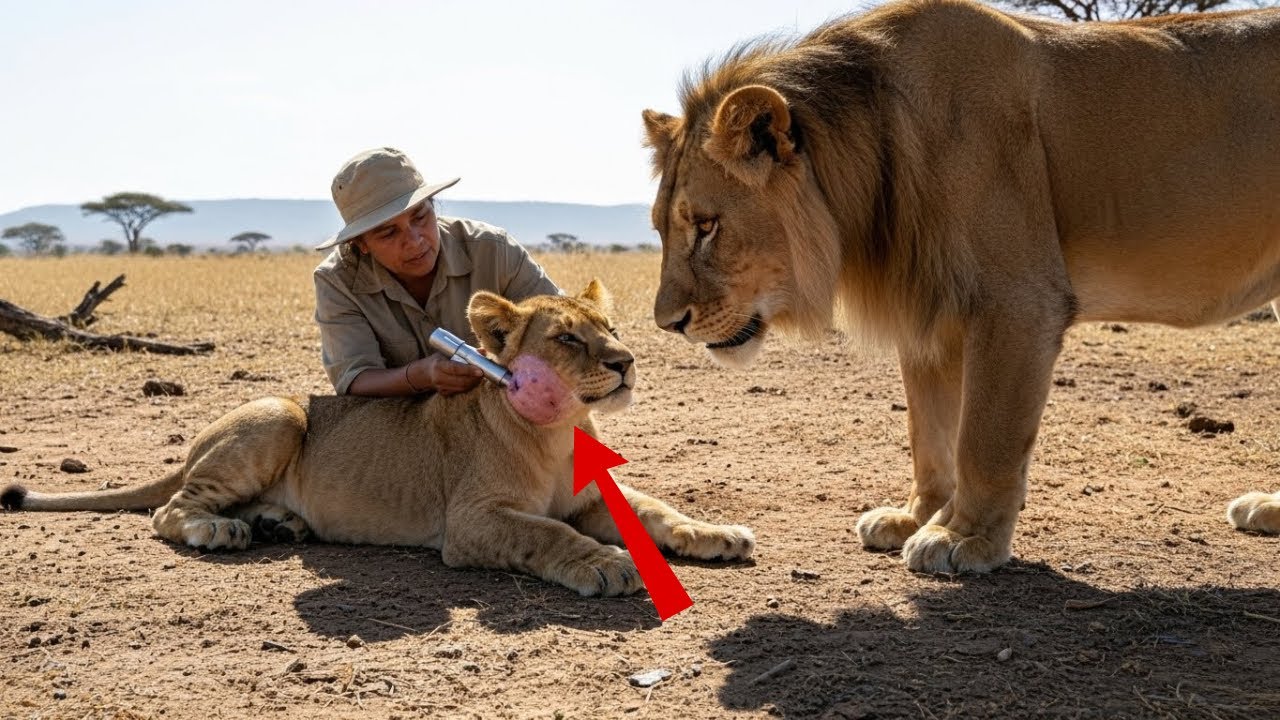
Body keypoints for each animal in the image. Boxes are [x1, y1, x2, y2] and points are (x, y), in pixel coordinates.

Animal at [0, 281, 756, 596]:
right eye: (569, 338)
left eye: (612, 330)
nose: (626, 361)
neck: (559, 429)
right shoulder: (470, 523)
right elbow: (547, 533)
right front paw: (605, 564)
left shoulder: (591, 494)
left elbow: (654, 509)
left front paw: (717, 534)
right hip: (279, 412)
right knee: (170, 508)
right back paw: (222, 530)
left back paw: (279, 524)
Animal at [640, 0, 1280, 573]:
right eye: (661, 228)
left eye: (706, 226)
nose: (666, 324)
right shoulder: (928, 307)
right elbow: (929, 430)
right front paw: (915, 515)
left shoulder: (1017, 301)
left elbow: (984, 437)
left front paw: (961, 538)